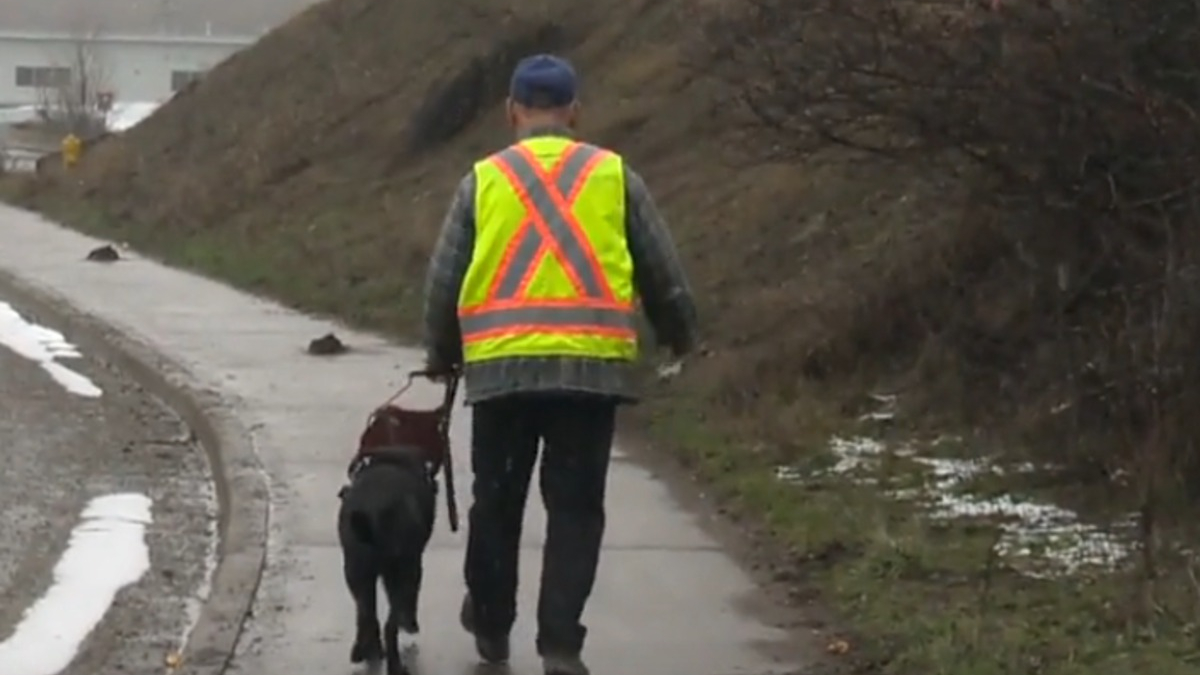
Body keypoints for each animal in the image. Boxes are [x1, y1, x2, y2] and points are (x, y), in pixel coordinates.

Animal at [340, 401, 448, 672]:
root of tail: (374, 513)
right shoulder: (413, 566)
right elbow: (409, 604)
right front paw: (410, 623)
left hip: (356, 570)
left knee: (366, 614)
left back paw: (365, 650)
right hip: (401, 571)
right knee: (390, 622)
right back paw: (395, 663)